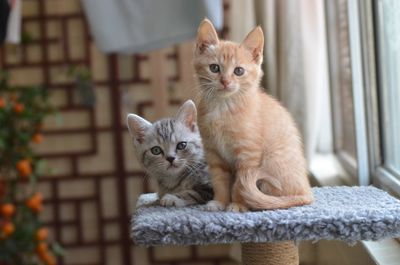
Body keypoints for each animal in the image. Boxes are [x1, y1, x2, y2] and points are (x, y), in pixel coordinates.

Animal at [193, 19, 312, 210]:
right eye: (214, 68)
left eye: (238, 71)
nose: (225, 81)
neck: (223, 107)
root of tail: (307, 192)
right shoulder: (214, 153)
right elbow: (220, 181)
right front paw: (220, 201)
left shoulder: (248, 154)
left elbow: (241, 184)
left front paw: (238, 204)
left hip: (272, 162)